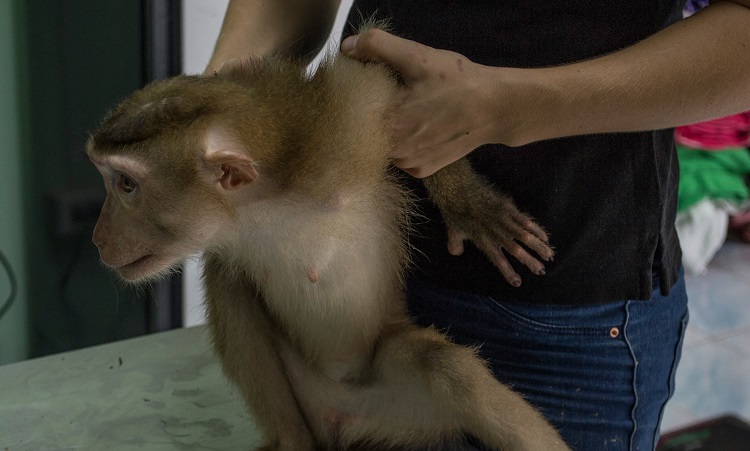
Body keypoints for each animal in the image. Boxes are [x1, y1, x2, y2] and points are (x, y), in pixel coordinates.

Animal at [88, 46, 568, 451]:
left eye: (126, 185)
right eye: (109, 180)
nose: (98, 236)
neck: (260, 203)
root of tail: (341, 418)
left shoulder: (346, 123)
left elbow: (401, 90)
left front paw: (469, 205)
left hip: (405, 414)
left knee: (445, 367)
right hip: (308, 396)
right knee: (230, 284)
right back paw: (291, 442)